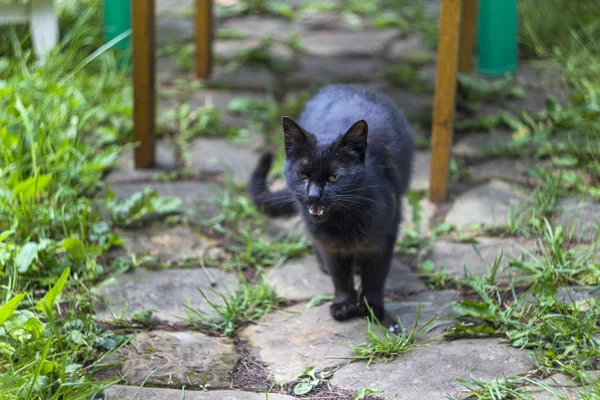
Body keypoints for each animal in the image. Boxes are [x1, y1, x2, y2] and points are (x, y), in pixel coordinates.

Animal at [248, 85, 412, 322]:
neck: (342, 221)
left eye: (334, 177)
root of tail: (347, 85)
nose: (314, 195)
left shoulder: (382, 238)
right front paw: (344, 305)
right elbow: (340, 277)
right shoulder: (330, 244)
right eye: (302, 175)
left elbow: (375, 277)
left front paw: (371, 308)